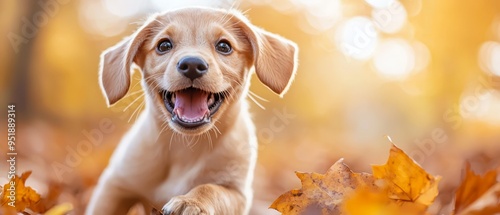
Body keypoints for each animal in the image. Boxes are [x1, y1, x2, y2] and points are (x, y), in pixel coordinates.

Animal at [86, 6, 296, 215]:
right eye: (163, 45)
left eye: (224, 46)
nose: (193, 65)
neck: (186, 146)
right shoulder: (115, 185)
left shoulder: (238, 193)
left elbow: (211, 188)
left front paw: (191, 201)